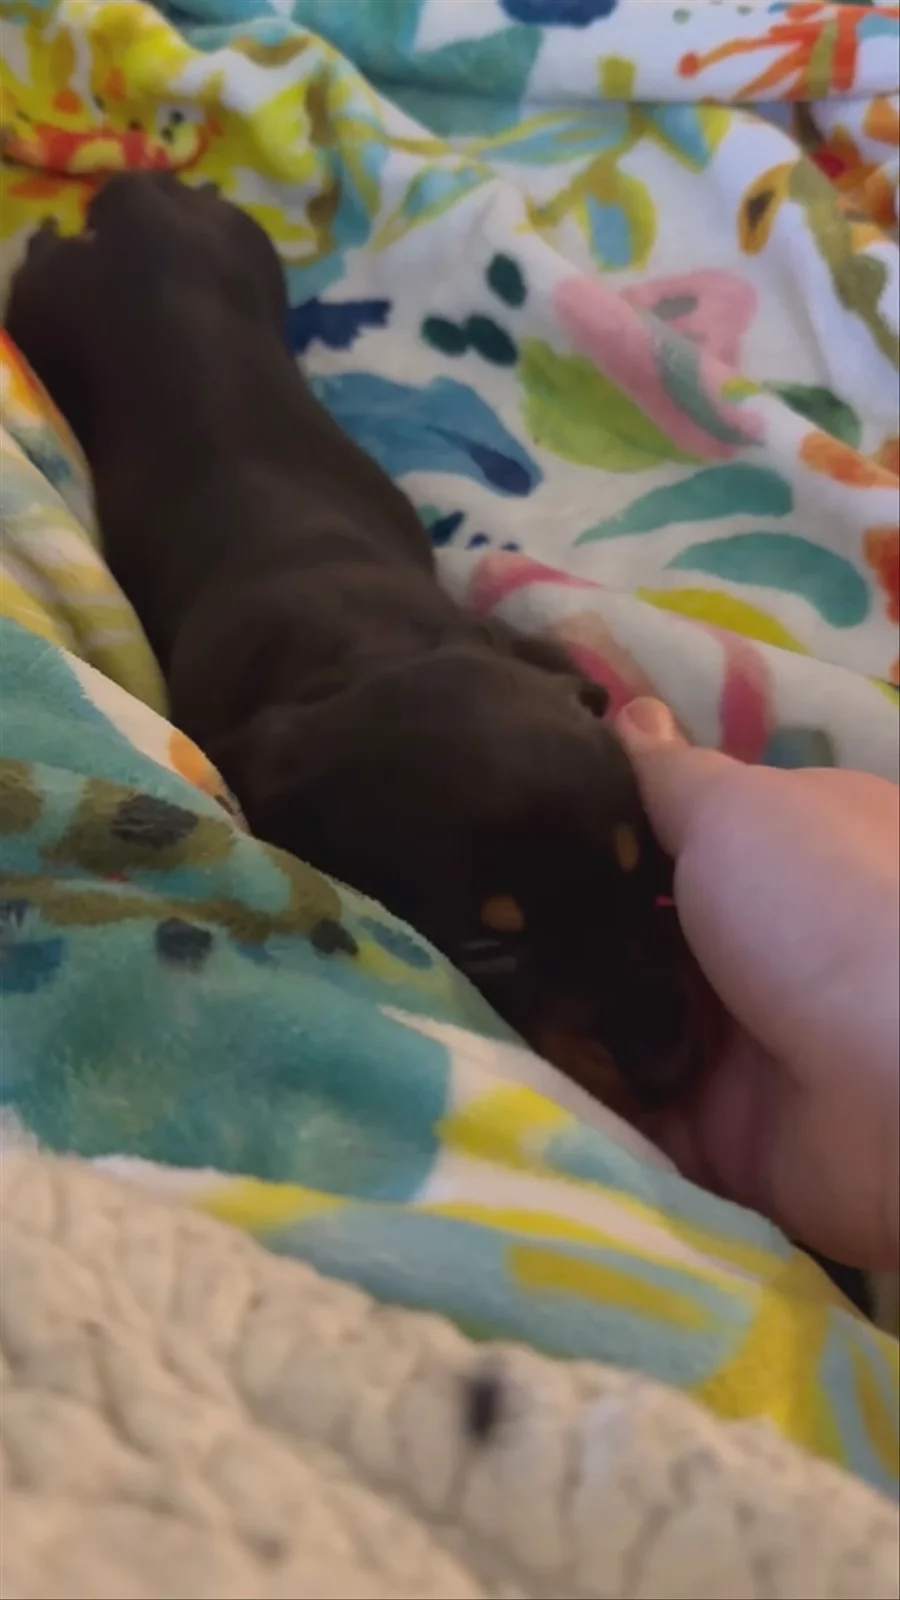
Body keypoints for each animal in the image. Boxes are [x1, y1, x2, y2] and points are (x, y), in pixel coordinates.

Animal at [6, 172, 702, 1111]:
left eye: (648, 872)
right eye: (488, 951)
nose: (669, 1071)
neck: (375, 645)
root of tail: (138, 195)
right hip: (44, 307)